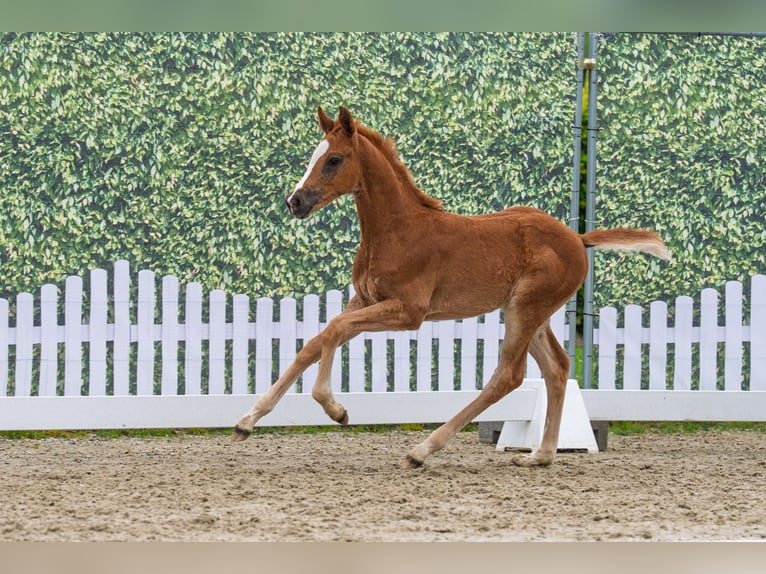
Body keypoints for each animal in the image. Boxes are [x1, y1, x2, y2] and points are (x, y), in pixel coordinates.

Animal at [233, 106, 671, 468]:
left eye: (334, 160)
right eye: (314, 156)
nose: (295, 202)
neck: (396, 230)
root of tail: (578, 239)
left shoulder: (409, 312)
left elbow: (334, 332)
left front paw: (335, 409)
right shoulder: (365, 299)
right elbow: (315, 341)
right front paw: (246, 421)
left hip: (525, 309)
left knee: (508, 376)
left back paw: (422, 450)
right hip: (532, 313)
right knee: (558, 368)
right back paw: (541, 455)